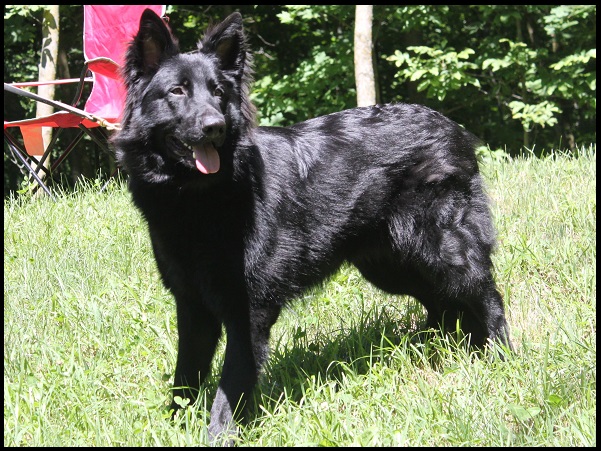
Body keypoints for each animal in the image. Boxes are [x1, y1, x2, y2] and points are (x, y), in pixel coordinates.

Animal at [113, 9, 512, 444]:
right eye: (177, 91)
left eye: (218, 93)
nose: (215, 125)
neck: (199, 198)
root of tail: (454, 128)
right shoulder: (192, 307)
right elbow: (185, 377)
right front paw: (172, 426)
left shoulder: (247, 313)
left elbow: (228, 388)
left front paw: (219, 434)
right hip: (392, 265)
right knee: (440, 303)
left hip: (444, 250)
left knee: (487, 297)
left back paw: (502, 357)